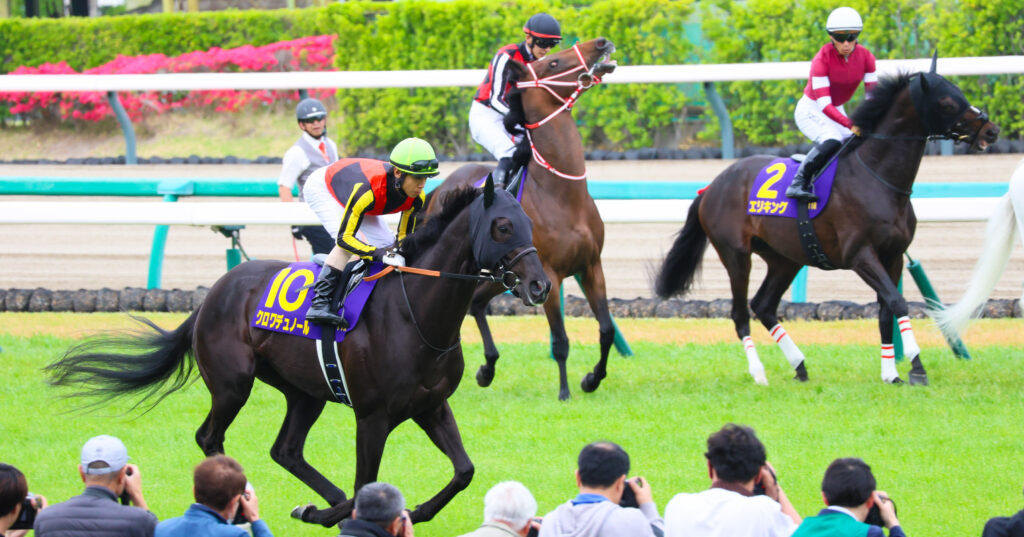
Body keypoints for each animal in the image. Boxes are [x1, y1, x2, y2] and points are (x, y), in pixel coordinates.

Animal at [45, 177, 551, 527]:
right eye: (503, 226)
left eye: (530, 223)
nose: (540, 286)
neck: (416, 314)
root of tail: (211, 295)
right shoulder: (373, 416)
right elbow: (366, 484)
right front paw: (344, 513)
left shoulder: (431, 405)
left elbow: (463, 471)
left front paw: (400, 511)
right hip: (232, 385)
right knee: (210, 437)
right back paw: (241, 501)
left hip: (304, 392)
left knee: (285, 450)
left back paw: (317, 505)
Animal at [427, 37, 618, 401]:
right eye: (554, 63)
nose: (601, 43)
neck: (563, 194)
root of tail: (441, 187)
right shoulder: (549, 276)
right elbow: (560, 341)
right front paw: (564, 392)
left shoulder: (592, 267)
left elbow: (605, 330)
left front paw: (592, 378)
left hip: (502, 274)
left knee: (476, 303)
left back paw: (487, 368)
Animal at [655, 60, 999, 386]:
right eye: (947, 101)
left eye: (960, 93)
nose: (991, 131)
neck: (877, 177)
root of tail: (711, 186)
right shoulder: (860, 256)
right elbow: (898, 302)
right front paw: (917, 368)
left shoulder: (893, 256)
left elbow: (886, 311)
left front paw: (892, 374)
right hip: (736, 255)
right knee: (740, 313)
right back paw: (759, 373)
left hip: (784, 258)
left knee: (763, 305)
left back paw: (800, 366)